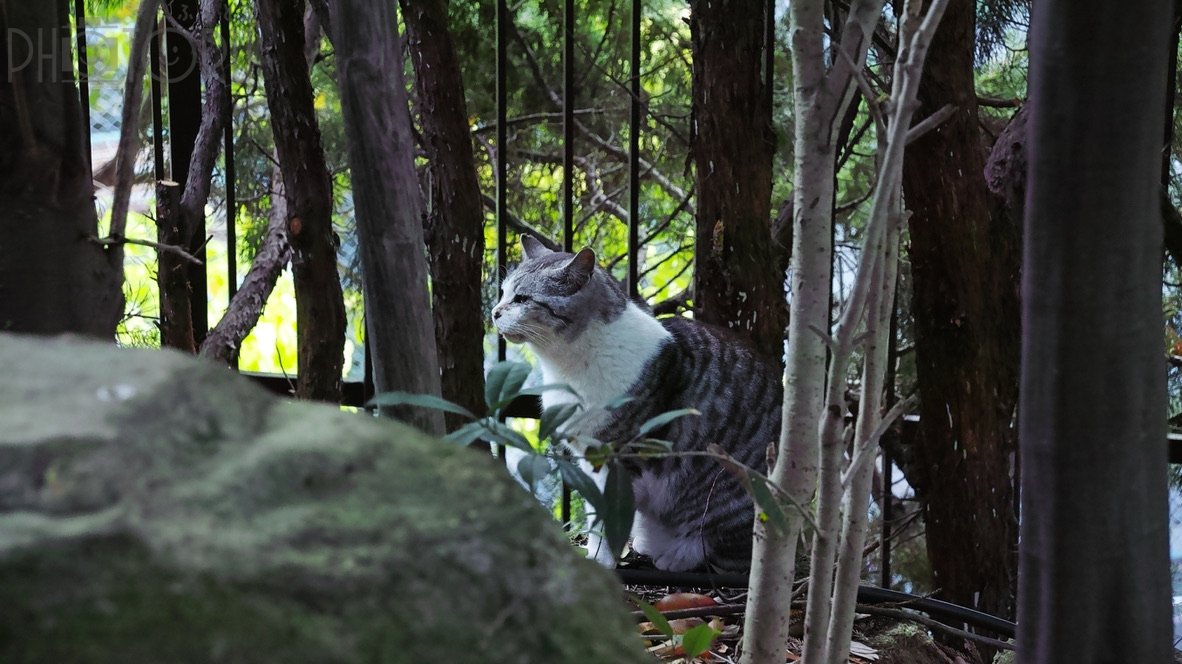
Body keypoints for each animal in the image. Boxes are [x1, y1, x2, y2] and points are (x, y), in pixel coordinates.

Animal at [491, 235, 784, 571]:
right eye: (504, 292)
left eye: (522, 299)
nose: (495, 312)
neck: (566, 366)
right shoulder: (589, 460)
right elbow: (595, 514)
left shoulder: (616, 460)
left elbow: (607, 520)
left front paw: (601, 561)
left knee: (727, 555)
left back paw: (678, 556)